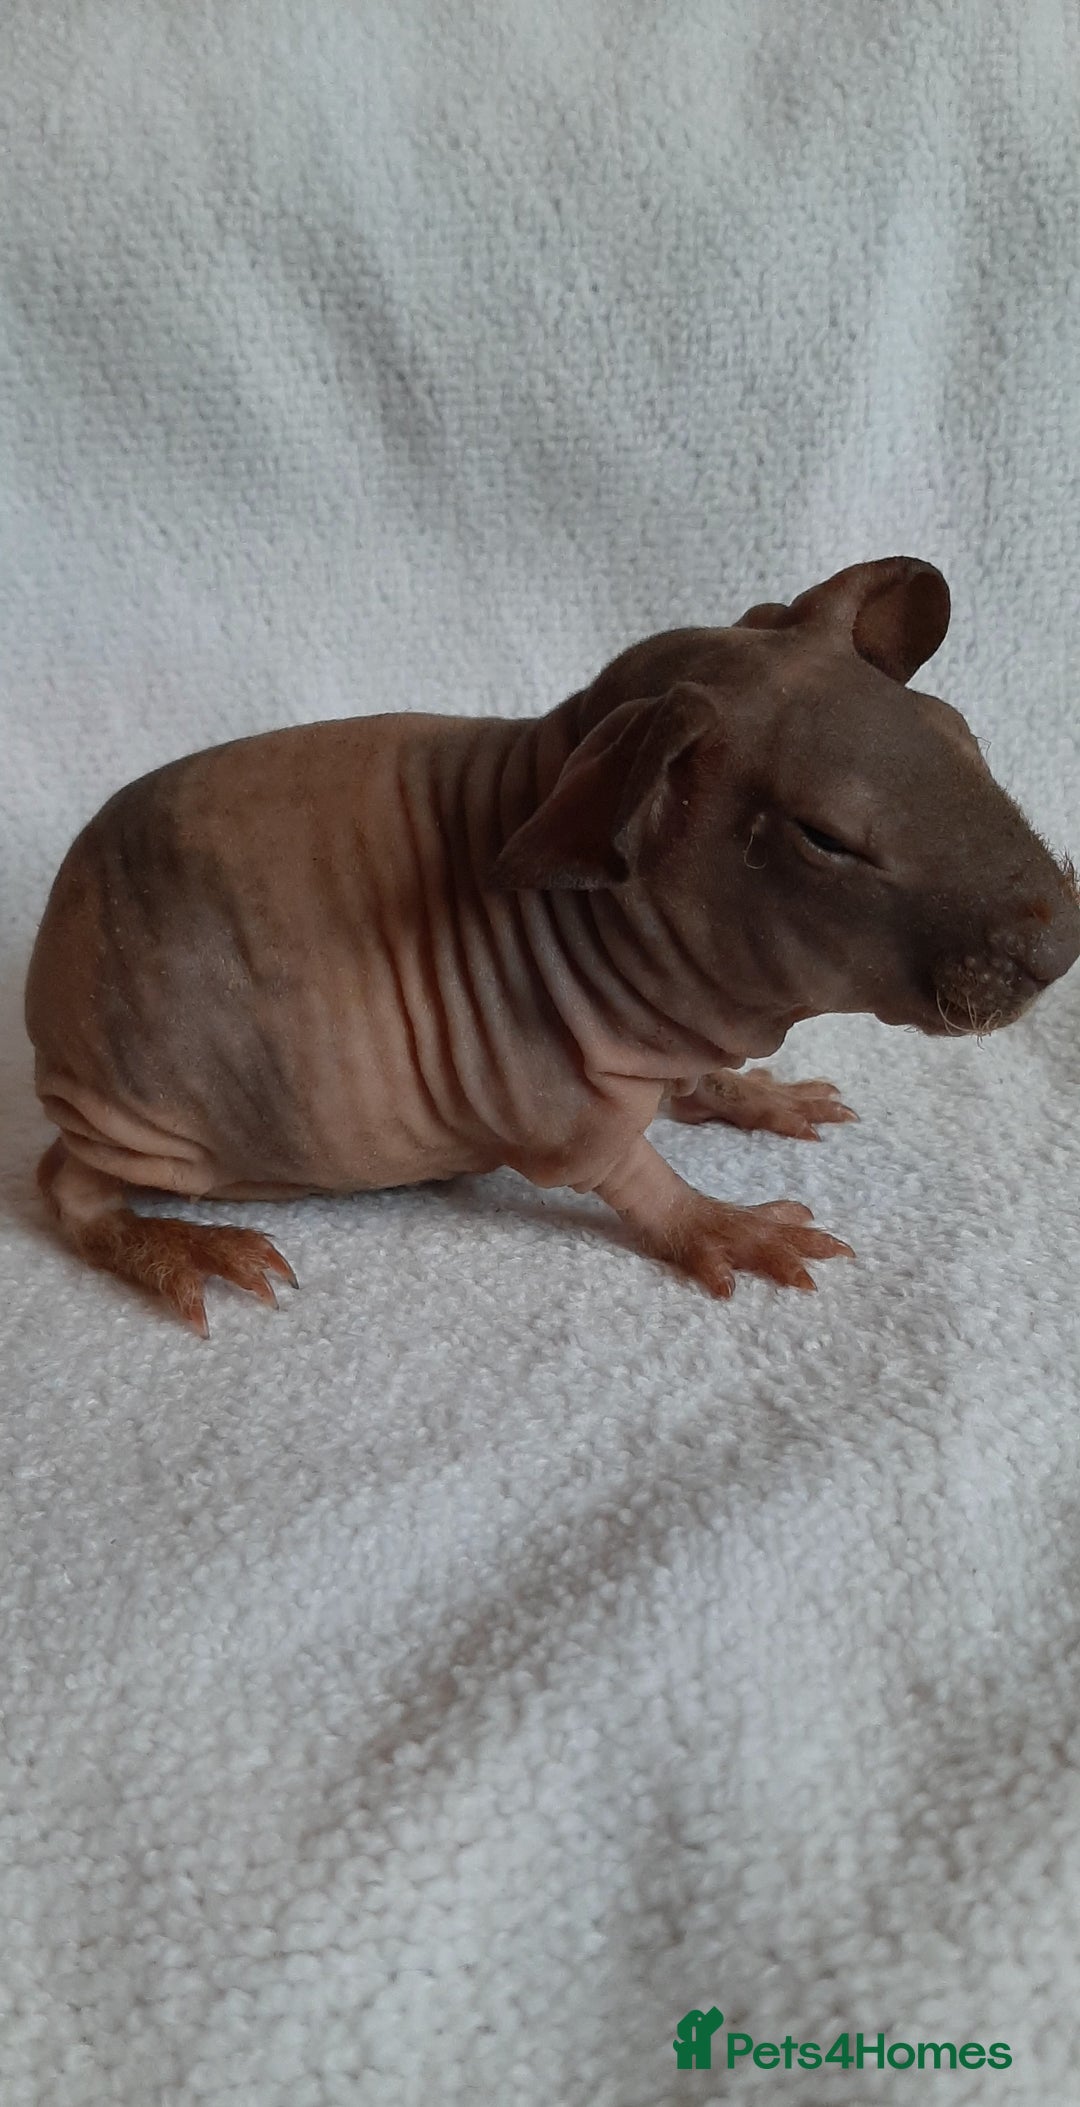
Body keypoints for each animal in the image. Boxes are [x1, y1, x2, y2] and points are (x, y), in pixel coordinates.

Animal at [24, 556, 1080, 1333]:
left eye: (963, 736)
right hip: (146, 1124)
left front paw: (761, 1095)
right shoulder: (551, 1091)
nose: (1065, 941)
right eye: (826, 840)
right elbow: (626, 1174)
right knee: (64, 1191)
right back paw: (181, 1245)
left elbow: (702, 1080)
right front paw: (727, 1223)